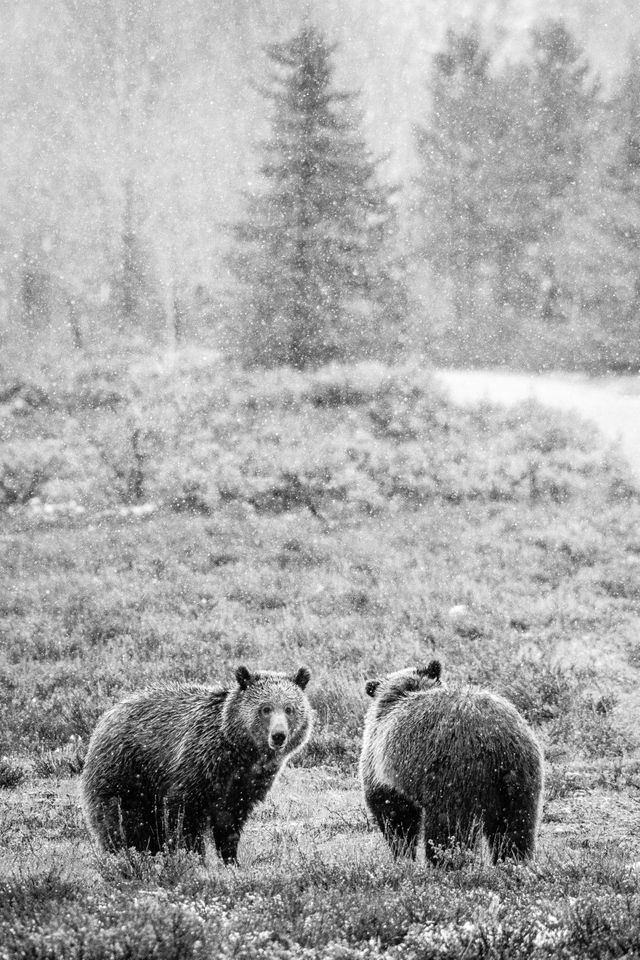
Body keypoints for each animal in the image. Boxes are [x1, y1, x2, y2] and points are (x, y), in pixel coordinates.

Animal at [81, 668, 312, 864]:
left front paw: (231, 860)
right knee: (122, 819)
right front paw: (195, 857)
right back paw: (127, 854)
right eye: (265, 708)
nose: (279, 735)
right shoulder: (198, 765)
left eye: (289, 709)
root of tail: (107, 714)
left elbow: (230, 822)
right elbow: (185, 816)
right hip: (126, 772)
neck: (241, 753)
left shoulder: (247, 783)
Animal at [358, 660, 544, 864]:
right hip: (522, 778)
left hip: (454, 778)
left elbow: (395, 814)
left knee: (448, 827)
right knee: (516, 826)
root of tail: (498, 739)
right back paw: (513, 860)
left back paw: (446, 861)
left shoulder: (380, 769)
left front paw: (402, 851)